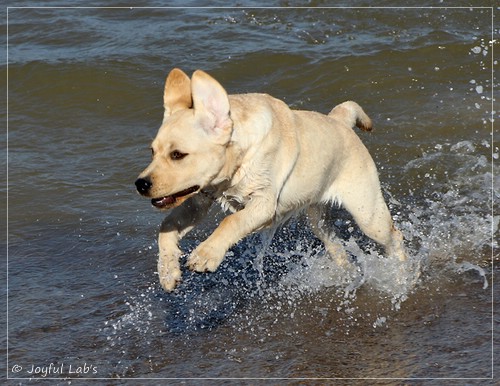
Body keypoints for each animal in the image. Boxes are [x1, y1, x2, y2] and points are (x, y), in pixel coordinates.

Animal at [136, 68, 406, 292]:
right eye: (152, 151)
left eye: (177, 154)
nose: (141, 184)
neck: (240, 159)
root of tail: (340, 121)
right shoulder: (200, 199)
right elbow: (167, 226)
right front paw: (168, 272)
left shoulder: (264, 204)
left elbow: (231, 222)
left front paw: (205, 255)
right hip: (317, 215)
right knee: (334, 243)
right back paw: (346, 273)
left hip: (368, 213)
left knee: (395, 235)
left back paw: (401, 273)